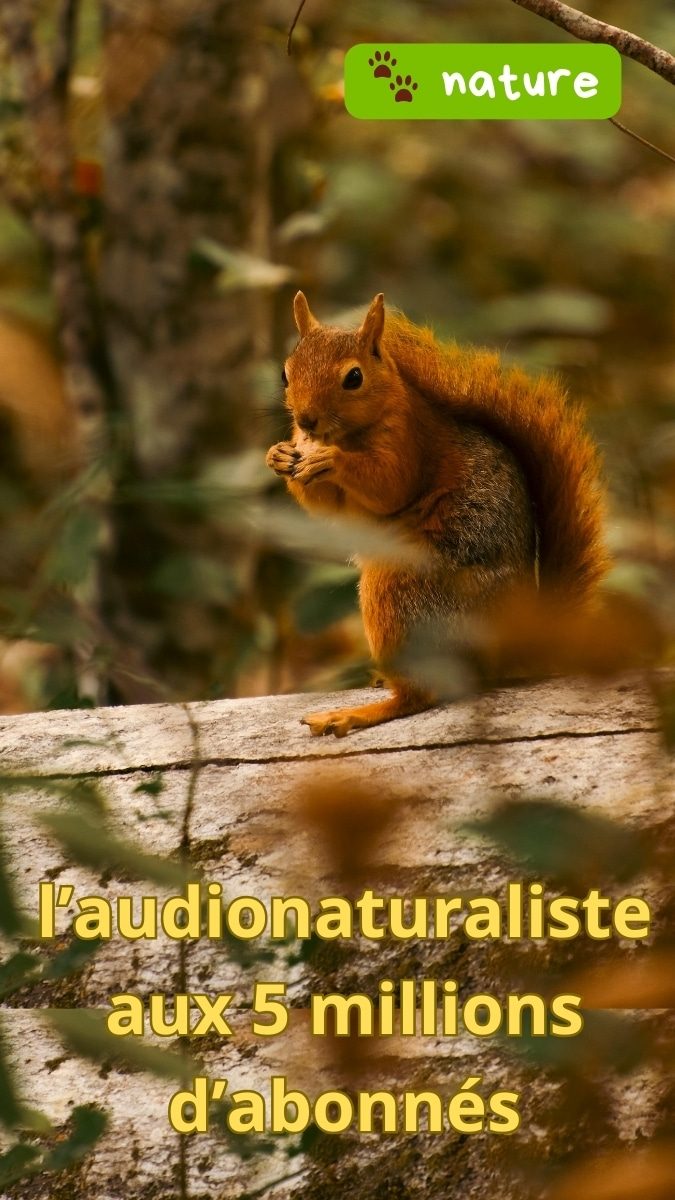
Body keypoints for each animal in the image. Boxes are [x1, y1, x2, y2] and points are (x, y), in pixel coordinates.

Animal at [266, 291, 609, 737]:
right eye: (285, 374)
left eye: (354, 377)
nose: (306, 420)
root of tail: (506, 648)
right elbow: (323, 503)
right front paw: (278, 455)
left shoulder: (409, 442)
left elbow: (389, 485)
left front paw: (332, 459)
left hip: (402, 590)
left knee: (420, 695)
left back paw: (359, 712)